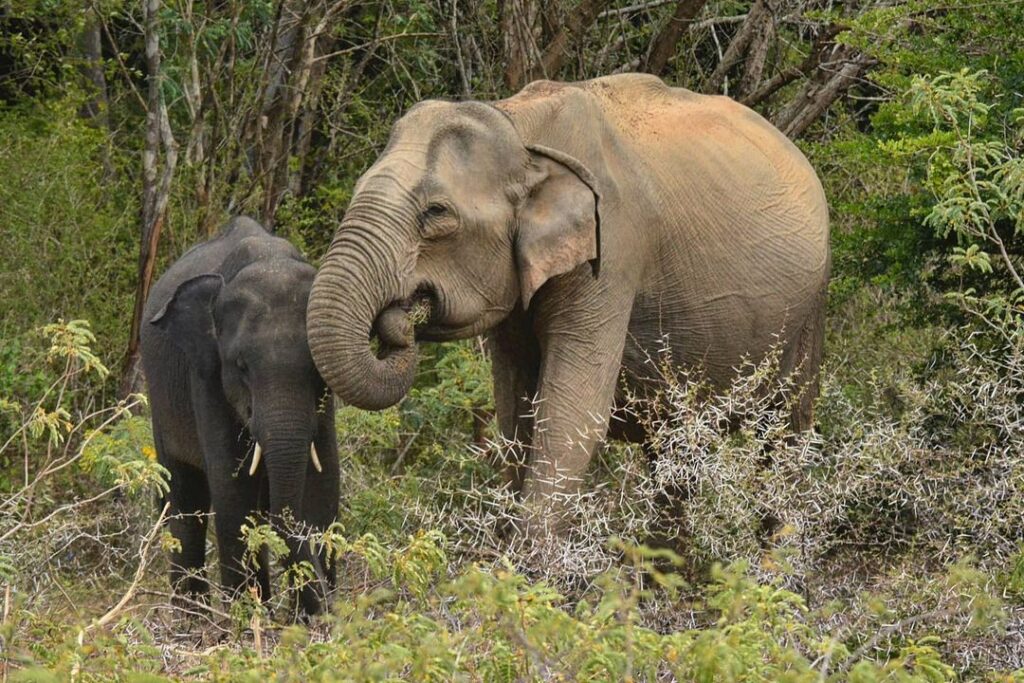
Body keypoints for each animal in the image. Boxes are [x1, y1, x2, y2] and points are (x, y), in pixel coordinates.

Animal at [140, 218, 337, 614]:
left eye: (316, 368)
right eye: (241, 366)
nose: (325, 610)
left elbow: (325, 488)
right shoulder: (207, 377)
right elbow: (233, 493)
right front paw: (250, 618)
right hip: (160, 403)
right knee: (186, 504)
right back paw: (192, 620)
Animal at [305, 74, 831, 532]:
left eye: (436, 213)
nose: (399, 318)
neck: (521, 128)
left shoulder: (613, 251)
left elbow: (569, 418)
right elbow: (515, 413)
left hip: (810, 307)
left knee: (785, 436)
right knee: (676, 455)